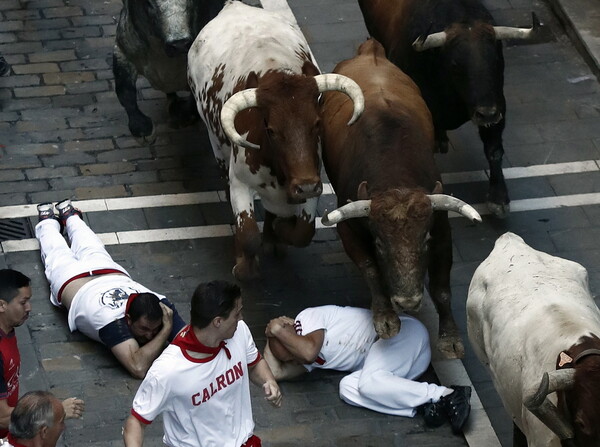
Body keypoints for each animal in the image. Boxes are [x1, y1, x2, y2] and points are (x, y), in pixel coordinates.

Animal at [322, 40, 480, 358]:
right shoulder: (348, 228)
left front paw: (450, 337)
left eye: (424, 241)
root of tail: (369, 51)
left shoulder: (441, 228)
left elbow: (442, 288)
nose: (408, 302)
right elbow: (371, 269)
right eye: (380, 244)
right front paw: (386, 318)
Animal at [358, 0, 536, 219]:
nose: (487, 114)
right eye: (456, 65)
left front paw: (499, 198)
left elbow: (494, 150)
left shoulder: (497, 103)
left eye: (496, 61)